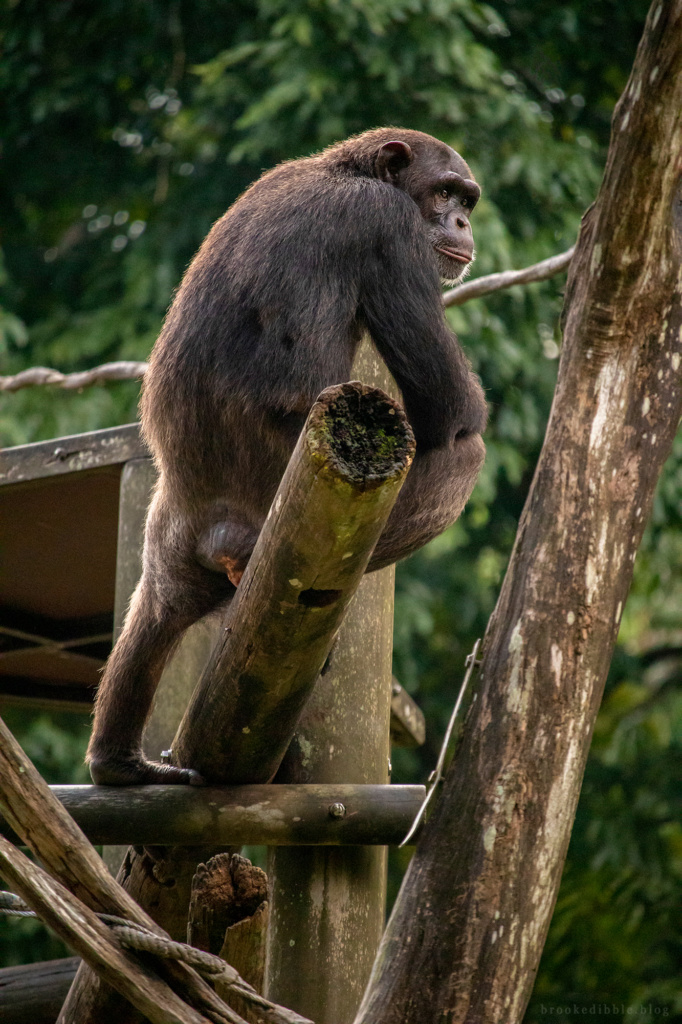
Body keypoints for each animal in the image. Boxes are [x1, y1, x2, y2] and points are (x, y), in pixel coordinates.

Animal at [87, 128, 485, 782]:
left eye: (467, 199)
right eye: (445, 192)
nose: (461, 220)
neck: (351, 173)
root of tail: (209, 524)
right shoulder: (388, 230)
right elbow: (455, 414)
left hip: (166, 539)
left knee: (154, 616)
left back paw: (117, 762)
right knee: (463, 455)